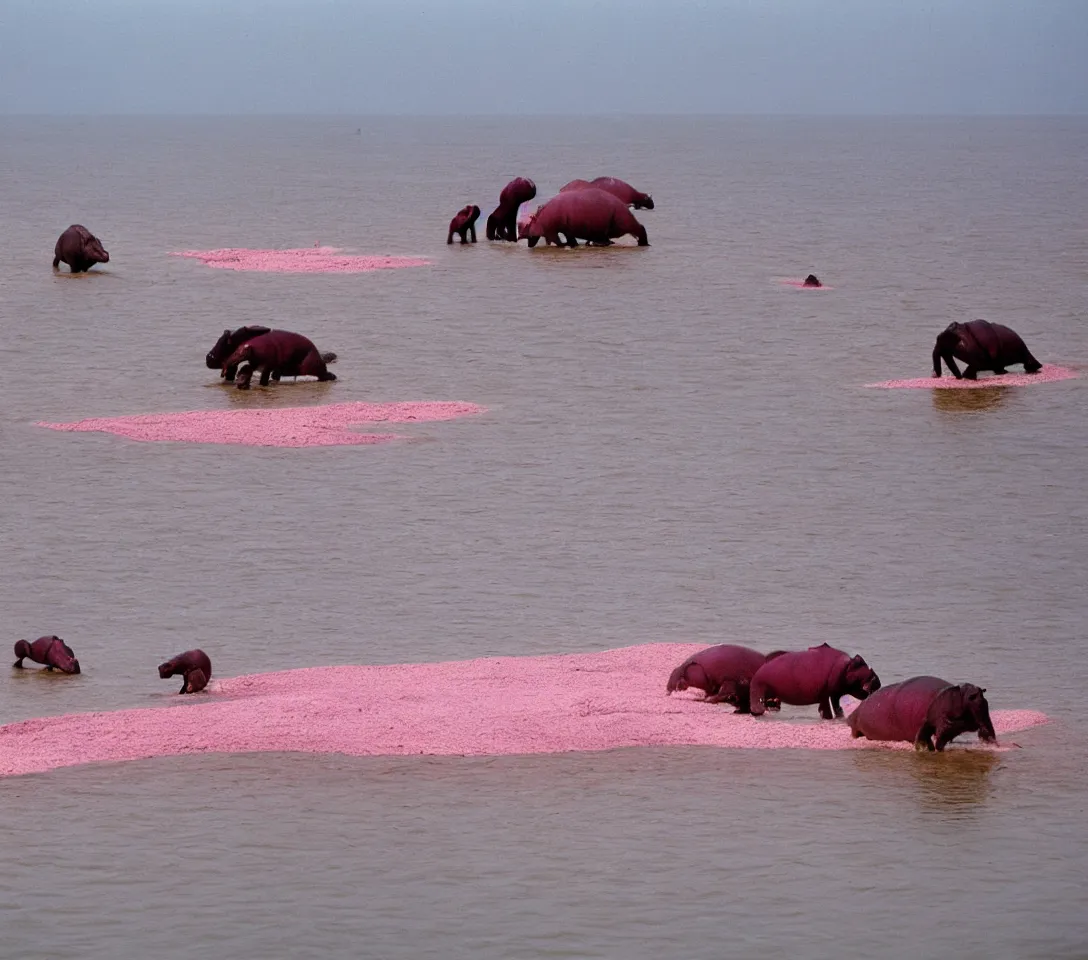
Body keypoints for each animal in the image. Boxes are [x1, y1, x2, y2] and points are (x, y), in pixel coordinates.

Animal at [515, 187, 644, 247]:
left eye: (527, 224)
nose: (519, 236)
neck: (538, 218)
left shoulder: (552, 231)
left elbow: (558, 240)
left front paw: (565, 245)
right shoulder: (562, 230)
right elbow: (568, 239)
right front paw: (572, 245)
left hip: (624, 222)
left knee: (640, 228)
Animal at [844, 670, 996, 753]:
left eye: (981, 697)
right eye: (972, 696)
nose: (952, 721)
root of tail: (851, 715)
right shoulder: (931, 722)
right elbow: (922, 737)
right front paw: (923, 749)